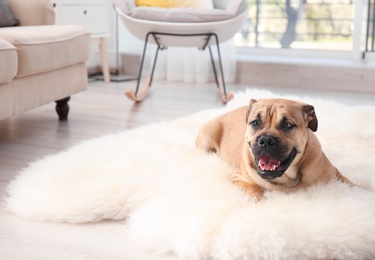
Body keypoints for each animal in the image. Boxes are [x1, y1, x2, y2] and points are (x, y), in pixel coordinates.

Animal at [197, 98, 358, 200]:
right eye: (255, 123)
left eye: (287, 125)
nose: (266, 140)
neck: (290, 177)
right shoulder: (239, 177)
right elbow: (254, 189)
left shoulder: (334, 173)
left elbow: (351, 184)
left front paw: (362, 191)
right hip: (207, 135)